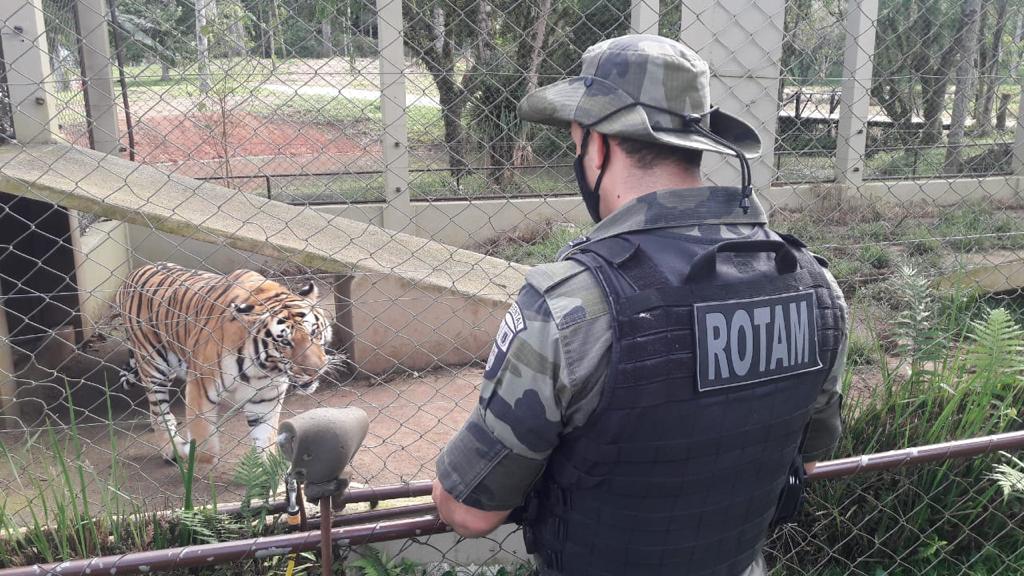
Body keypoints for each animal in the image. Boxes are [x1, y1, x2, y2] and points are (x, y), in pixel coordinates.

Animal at [115, 262, 339, 463]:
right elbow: (205, 448)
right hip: (153, 367)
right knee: (158, 413)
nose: (316, 370)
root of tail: (133, 273)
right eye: (285, 342)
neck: (263, 370)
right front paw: (188, 450)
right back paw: (172, 449)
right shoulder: (199, 388)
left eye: (314, 332)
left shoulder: (267, 398)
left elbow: (265, 441)